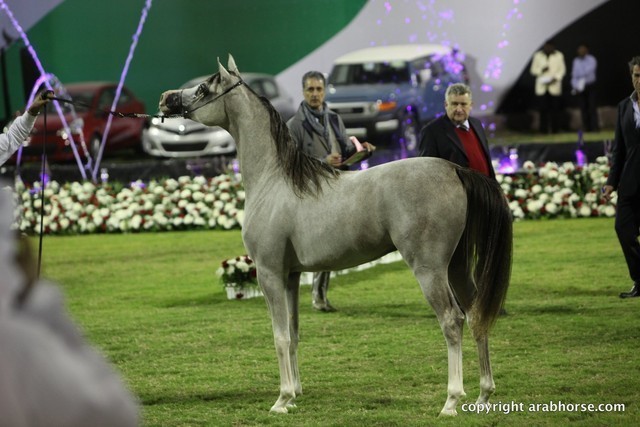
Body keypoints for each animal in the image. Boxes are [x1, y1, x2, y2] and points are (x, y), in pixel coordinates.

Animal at [158, 56, 512, 416]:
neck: (273, 180)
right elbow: (294, 333)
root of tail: (455, 170)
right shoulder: (291, 276)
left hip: (430, 270)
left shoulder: (269, 273)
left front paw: (281, 399)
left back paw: (451, 400)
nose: (166, 99)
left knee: (452, 321)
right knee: (476, 314)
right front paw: (295, 393)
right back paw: (483, 394)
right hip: (456, 266)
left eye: (204, 88)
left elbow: (279, 336)